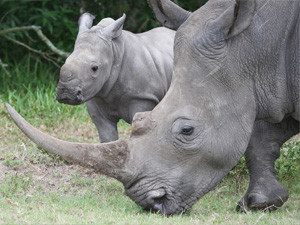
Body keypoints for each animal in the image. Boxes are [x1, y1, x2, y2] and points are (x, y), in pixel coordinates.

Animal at [56, 12, 175, 142]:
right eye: (65, 62)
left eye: (95, 68)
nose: (66, 93)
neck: (115, 50)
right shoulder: (96, 97)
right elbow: (107, 137)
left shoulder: (143, 97)